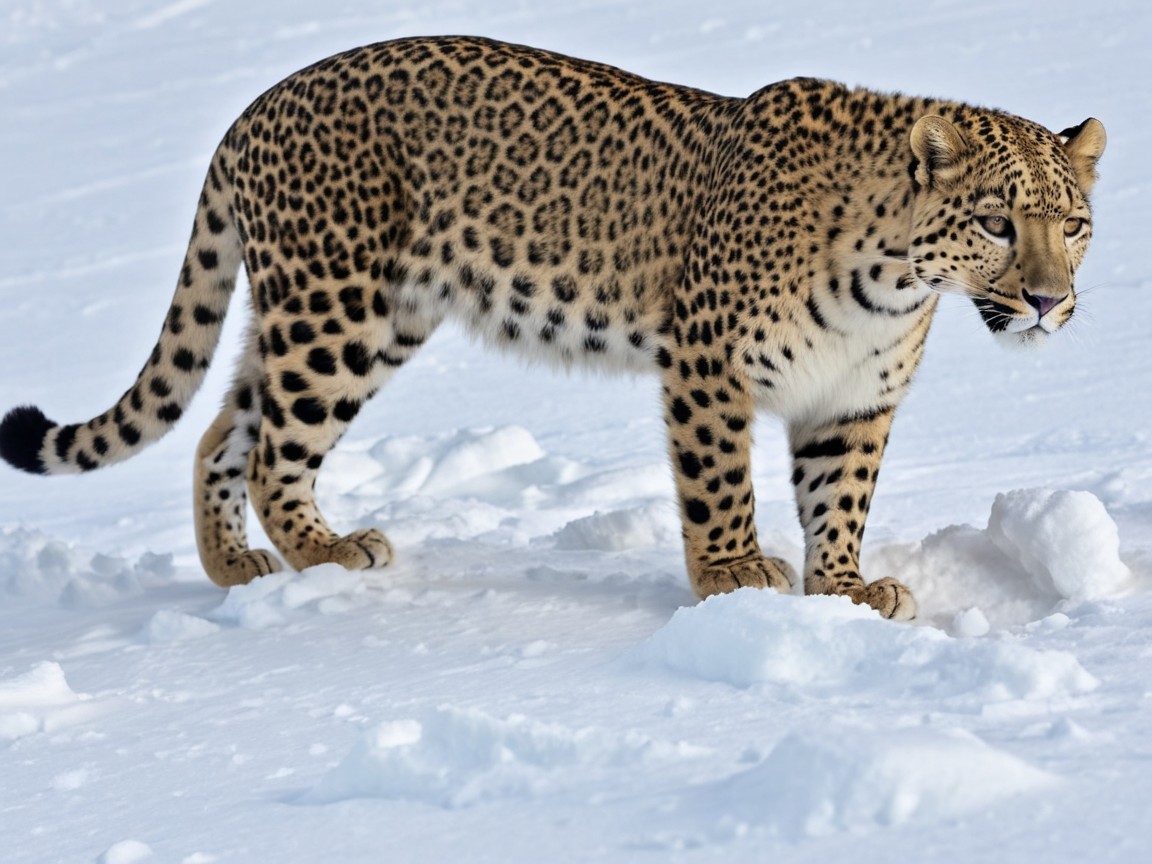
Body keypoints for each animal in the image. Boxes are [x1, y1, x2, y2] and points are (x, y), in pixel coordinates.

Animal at [0, 36, 1106, 620]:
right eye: (997, 224)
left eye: (1075, 225)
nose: (1050, 301)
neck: (894, 280)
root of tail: (253, 111)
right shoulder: (706, 365)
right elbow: (721, 486)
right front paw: (733, 577)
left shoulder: (852, 399)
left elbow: (840, 501)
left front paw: (841, 590)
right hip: (337, 310)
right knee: (273, 445)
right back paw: (328, 552)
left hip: (357, 318)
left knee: (225, 428)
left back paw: (239, 569)